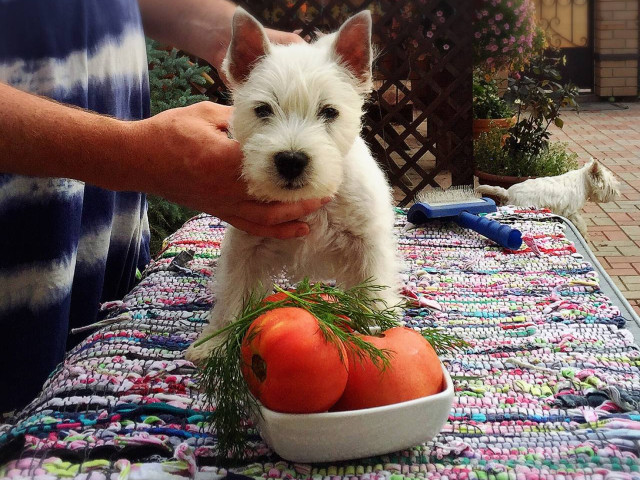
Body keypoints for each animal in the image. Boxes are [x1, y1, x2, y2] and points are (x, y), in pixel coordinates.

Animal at [186, 9, 400, 363]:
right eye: (262, 110)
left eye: (329, 112)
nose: (290, 160)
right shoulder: (244, 247)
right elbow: (231, 293)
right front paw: (214, 343)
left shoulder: (367, 244)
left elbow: (375, 288)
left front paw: (380, 329)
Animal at [475, 159, 620, 237]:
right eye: (609, 186)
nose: (617, 193)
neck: (582, 182)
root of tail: (507, 193)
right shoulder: (571, 211)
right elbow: (580, 222)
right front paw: (585, 234)